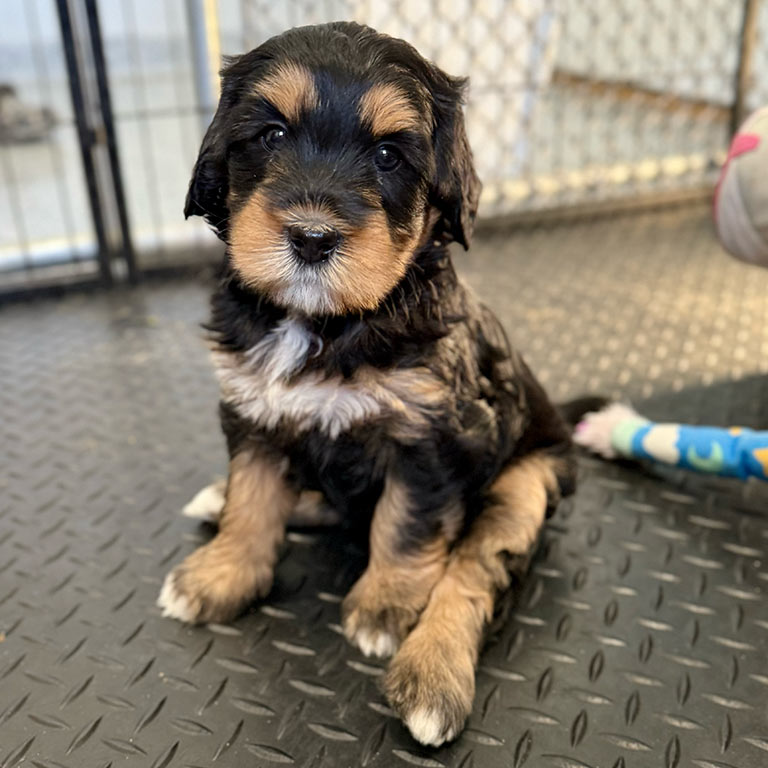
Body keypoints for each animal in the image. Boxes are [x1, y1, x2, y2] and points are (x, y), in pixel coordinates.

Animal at [158, 22, 576, 744]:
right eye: (271, 135)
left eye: (387, 156)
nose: (312, 238)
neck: (325, 322)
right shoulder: (256, 407)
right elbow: (254, 497)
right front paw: (221, 574)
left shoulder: (427, 435)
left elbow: (404, 525)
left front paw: (384, 606)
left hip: (524, 483)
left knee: (474, 568)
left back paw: (431, 678)